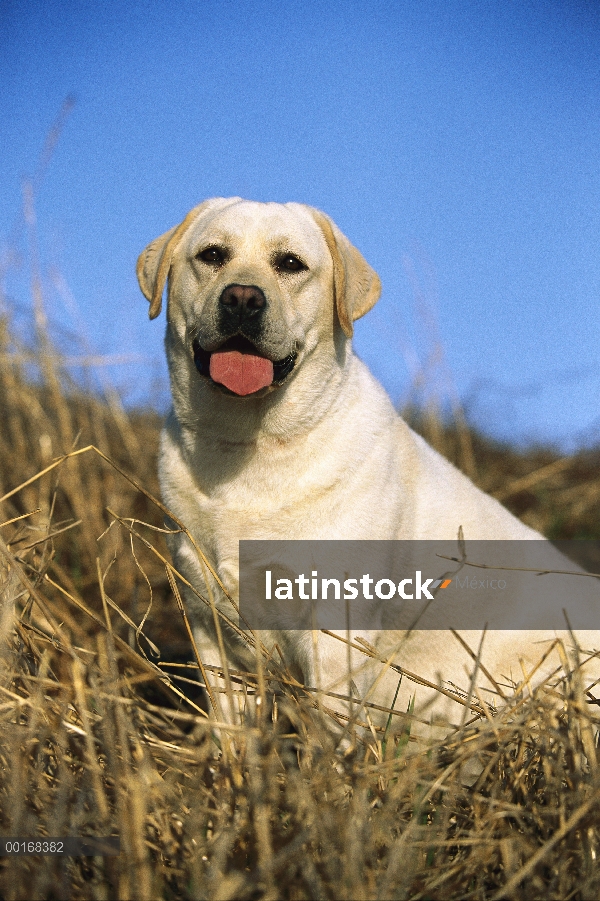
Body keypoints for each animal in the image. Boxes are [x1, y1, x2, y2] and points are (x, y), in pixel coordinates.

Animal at [137, 200, 600, 740]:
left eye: (290, 264)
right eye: (212, 255)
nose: (243, 298)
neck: (249, 447)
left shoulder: (334, 631)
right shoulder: (211, 625)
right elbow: (231, 732)